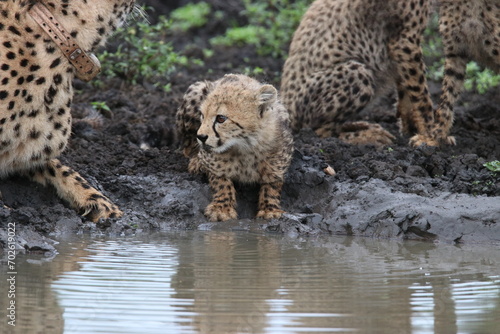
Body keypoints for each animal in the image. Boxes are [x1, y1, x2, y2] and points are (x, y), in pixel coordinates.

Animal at [177, 75, 292, 222]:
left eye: (221, 118)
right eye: (202, 115)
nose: (201, 136)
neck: (245, 147)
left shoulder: (280, 157)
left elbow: (272, 184)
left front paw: (269, 209)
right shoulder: (212, 159)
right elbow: (221, 181)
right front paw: (222, 209)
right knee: (187, 146)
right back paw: (196, 162)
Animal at [282, 0, 458, 146]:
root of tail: (286, 105)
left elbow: (407, 88)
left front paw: (412, 128)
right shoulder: (404, 40)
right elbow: (421, 94)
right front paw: (431, 135)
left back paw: (359, 125)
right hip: (358, 72)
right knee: (320, 132)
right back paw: (368, 137)